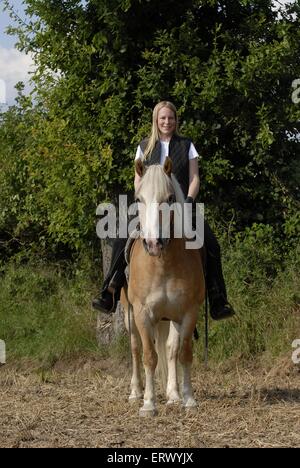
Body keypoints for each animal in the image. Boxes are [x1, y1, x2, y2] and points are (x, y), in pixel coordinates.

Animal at [120, 157, 205, 416]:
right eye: (139, 199)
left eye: (169, 198)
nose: (153, 244)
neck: (163, 264)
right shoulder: (142, 313)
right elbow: (149, 356)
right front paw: (149, 403)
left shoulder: (188, 312)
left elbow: (182, 353)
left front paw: (187, 399)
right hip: (129, 316)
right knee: (135, 349)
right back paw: (135, 392)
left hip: (170, 318)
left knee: (170, 350)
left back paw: (173, 395)